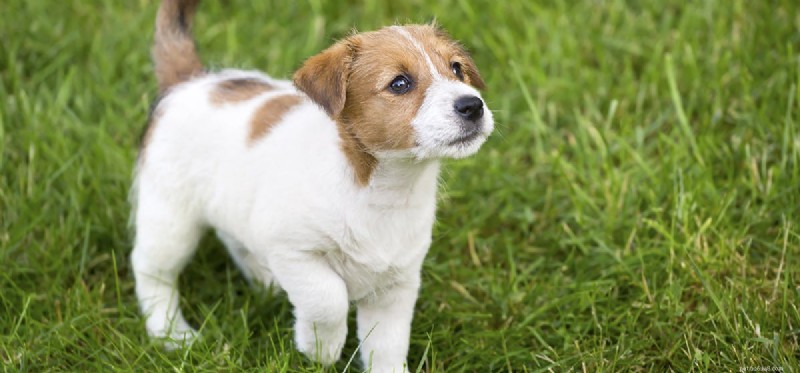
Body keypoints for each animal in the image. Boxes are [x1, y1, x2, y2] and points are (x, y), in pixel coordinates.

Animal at [130, 0, 494, 370]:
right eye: (400, 83)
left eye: (456, 69)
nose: (472, 105)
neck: (381, 188)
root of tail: (191, 82)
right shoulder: (294, 251)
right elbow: (328, 298)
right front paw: (321, 348)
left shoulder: (396, 285)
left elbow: (388, 345)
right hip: (170, 220)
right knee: (151, 270)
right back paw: (171, 332)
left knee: (235, 239)